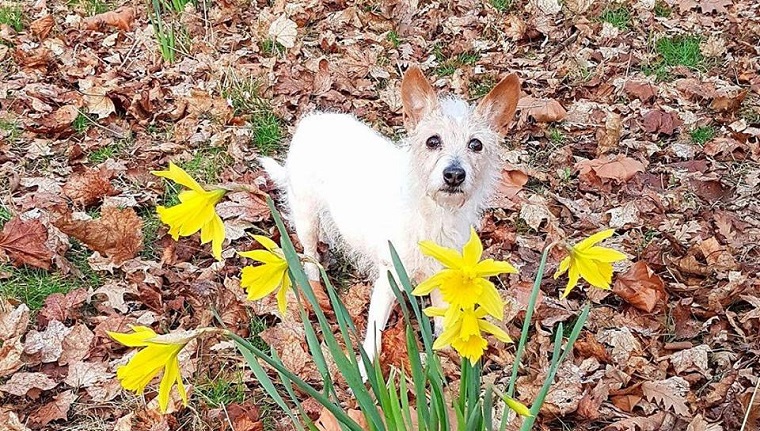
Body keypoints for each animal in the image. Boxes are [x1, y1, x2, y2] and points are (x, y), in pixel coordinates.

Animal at [258, 66, 520, 372]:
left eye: (476, 145)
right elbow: (375, 332)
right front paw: (366, 372)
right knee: (309, 250)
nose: (454, 174)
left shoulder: (440, 277)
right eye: (433, 141)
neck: (433, 214)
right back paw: (314, 280)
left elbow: (442, 324)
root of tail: (314, 119)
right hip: (305, 216)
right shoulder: (389, 277)